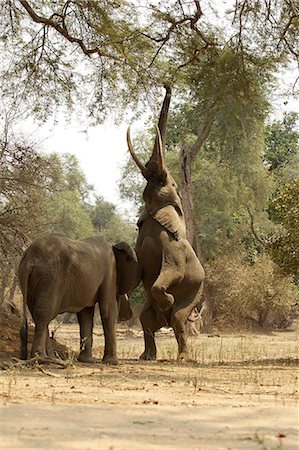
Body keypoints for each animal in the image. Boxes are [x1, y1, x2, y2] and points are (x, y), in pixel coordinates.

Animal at [18, 234, 141, 364]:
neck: (113, 246)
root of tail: (29, 258)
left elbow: (85, 314)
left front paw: (88, 360)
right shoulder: (110, 272)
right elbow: (108, 310)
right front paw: (113, 363)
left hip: (31, 280)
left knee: (37, 314)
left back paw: (50, 357)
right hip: (50, 278)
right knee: (44, 314)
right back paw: (42, 358)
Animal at [126, 84, 206, 360]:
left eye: (170, 183)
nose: (167, 84)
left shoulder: (174, 248)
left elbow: (170, 273)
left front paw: (169, 299)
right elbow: (136, 270)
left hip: (195, 294)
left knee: (179, 319)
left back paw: (183, 356)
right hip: (154, 315)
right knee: (146, 320)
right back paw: (147, 356)